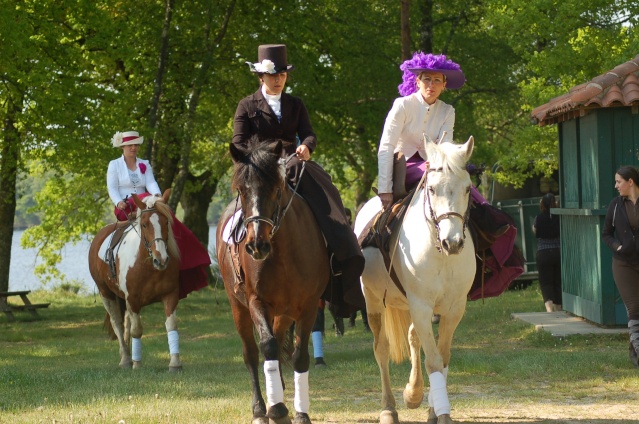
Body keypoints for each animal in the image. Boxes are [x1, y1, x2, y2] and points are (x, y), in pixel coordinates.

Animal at [87, 189, 182, 372]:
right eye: (144, 224)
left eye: (166, 222)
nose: (161, 260)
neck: (148, 266)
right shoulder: (133, 299)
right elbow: (137, 330)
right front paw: (137, 364)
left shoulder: (170, 295)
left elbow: (171, 325)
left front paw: (175, 363)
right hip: (106, 293)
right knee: (117, 323)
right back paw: (125, 359)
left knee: (126, 323)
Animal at [218, 139, 332, 424]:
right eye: (241, 190)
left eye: (276, 189)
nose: (256, 245)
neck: (283, 252)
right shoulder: (257, 302)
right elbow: (266, 346)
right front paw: (277, 409)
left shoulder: (309, 305)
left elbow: (299, 356)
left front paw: (300, 412)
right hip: (239, 307)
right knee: (251, 353)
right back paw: (261, 409)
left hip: (284, 313)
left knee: (280, 345)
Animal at [356, 137, 476, 424]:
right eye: (431, 188)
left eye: (468, 188)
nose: (453, 242)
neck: (441, 254)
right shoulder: (421, 306)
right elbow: (433, 360)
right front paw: (441, 412)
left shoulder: (454, 309)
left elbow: (442, 358)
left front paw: (433, 409)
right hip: (374, 302)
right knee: (381, 349)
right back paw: (389, 408)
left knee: (412, 338)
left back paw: (413, 393)